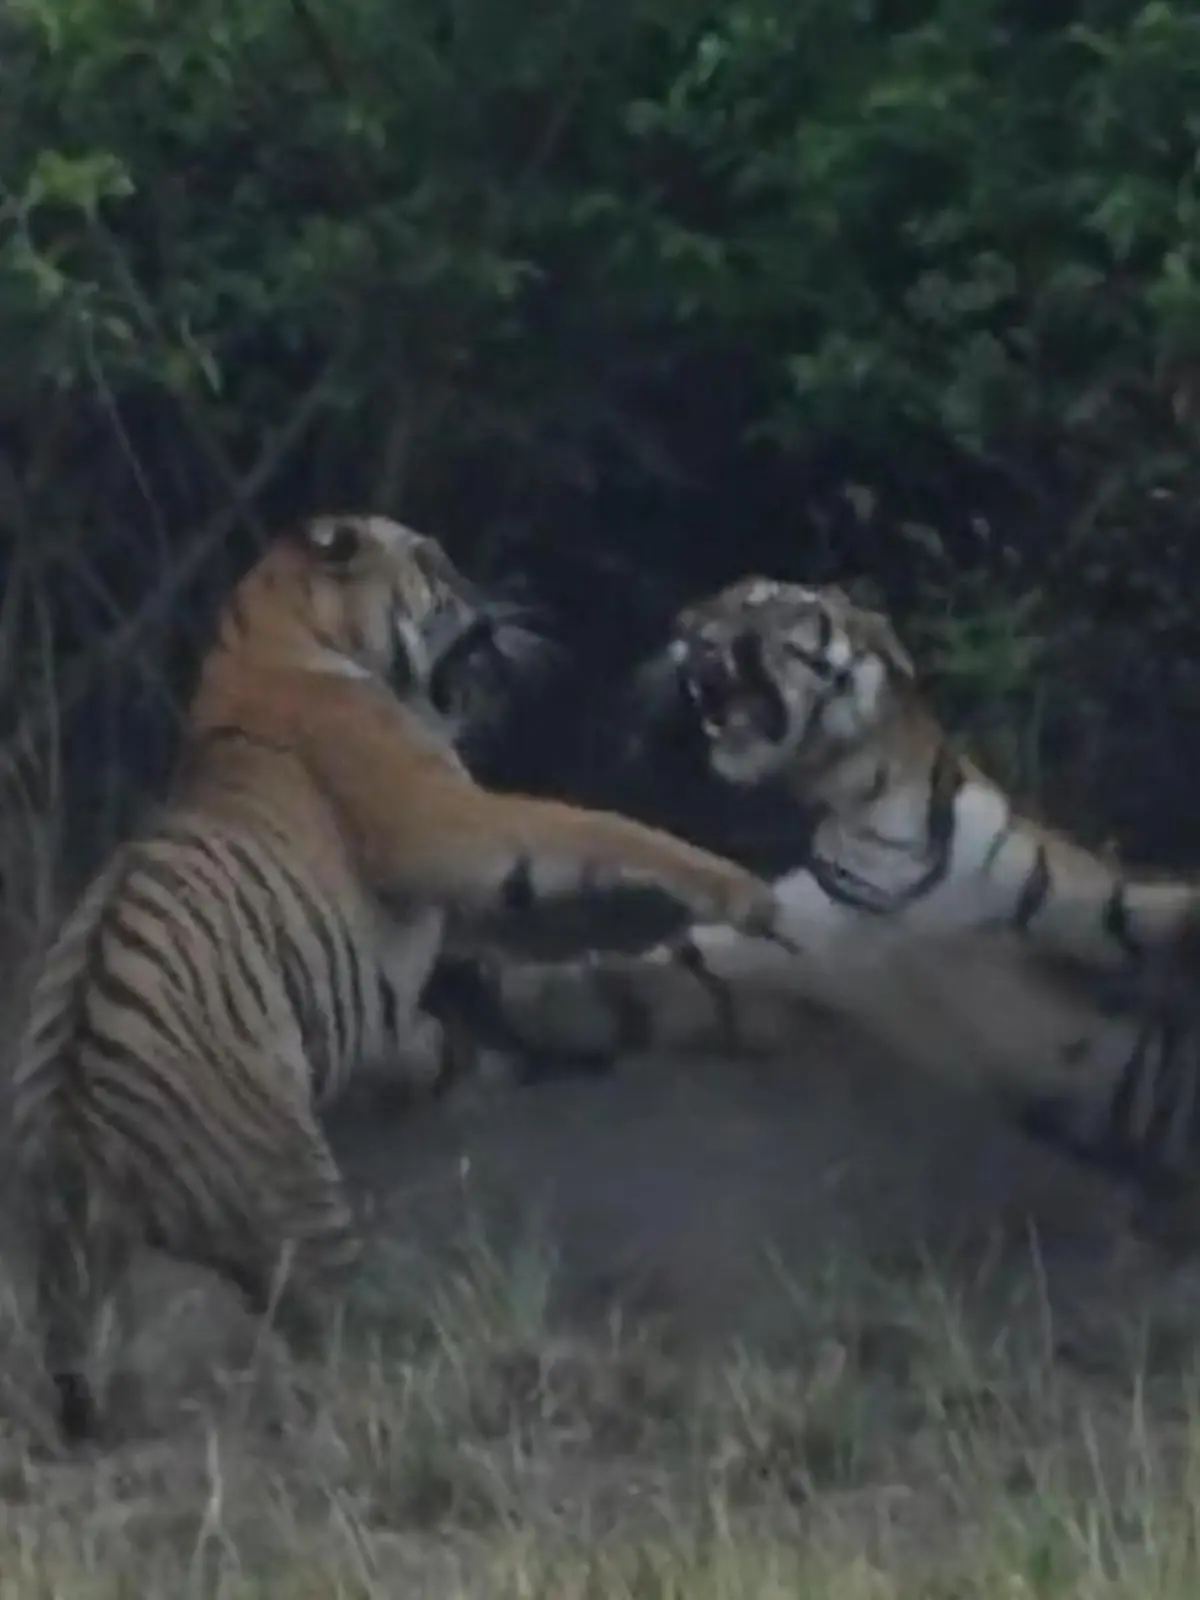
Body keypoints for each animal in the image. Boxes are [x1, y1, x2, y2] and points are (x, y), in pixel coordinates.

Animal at [4, 516, 782, 1446]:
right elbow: (595, 828)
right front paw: (741, 889)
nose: (505, 603)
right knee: (330, 1327)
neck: (280, 634)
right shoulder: (455, 827)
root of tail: (69, 1127)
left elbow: (467, 1020)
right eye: (437, 566)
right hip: (294, 1201)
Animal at [453, 575, 1200, 1217]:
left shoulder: (1081, 898)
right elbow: (637, 978)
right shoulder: (781, 959)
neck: (865, 812)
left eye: (759, 601)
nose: (682, 624)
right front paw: (504, 994)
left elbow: (1151, 913)